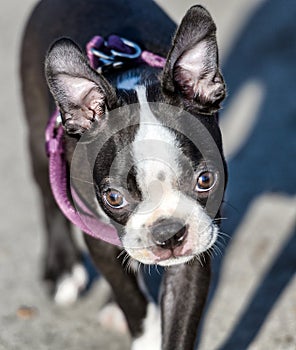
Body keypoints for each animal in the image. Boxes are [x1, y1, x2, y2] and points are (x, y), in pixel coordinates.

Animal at [20, 1, 227, 348]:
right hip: (39, 135)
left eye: (205, 180)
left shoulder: (198, 243)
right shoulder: (97, 237)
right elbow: (130, 296)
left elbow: (180, 318)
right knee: (48, 196)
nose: (168, 234)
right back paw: (62, 268)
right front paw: (146, 337)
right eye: (114, 198)